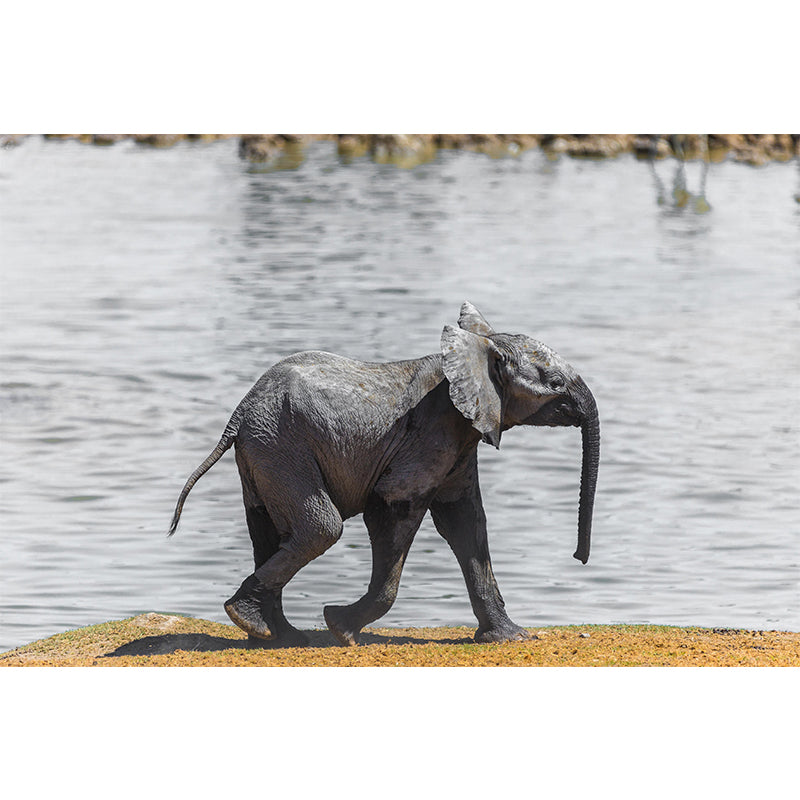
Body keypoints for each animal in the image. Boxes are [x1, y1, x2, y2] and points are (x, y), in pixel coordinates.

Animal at [168, 302, 600, 646]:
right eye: (555, 384)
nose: (579, 558)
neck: (475, 350)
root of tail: (239, 413)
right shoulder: (431, 434)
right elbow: (391, 510)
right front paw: (340, 628)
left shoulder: (461, 441)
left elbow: (465, 522)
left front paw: (511, 638)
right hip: (281, 444)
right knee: (321, 528)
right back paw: (256, 622)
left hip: (264, 449)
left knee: (268, 529)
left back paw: (275, 635)